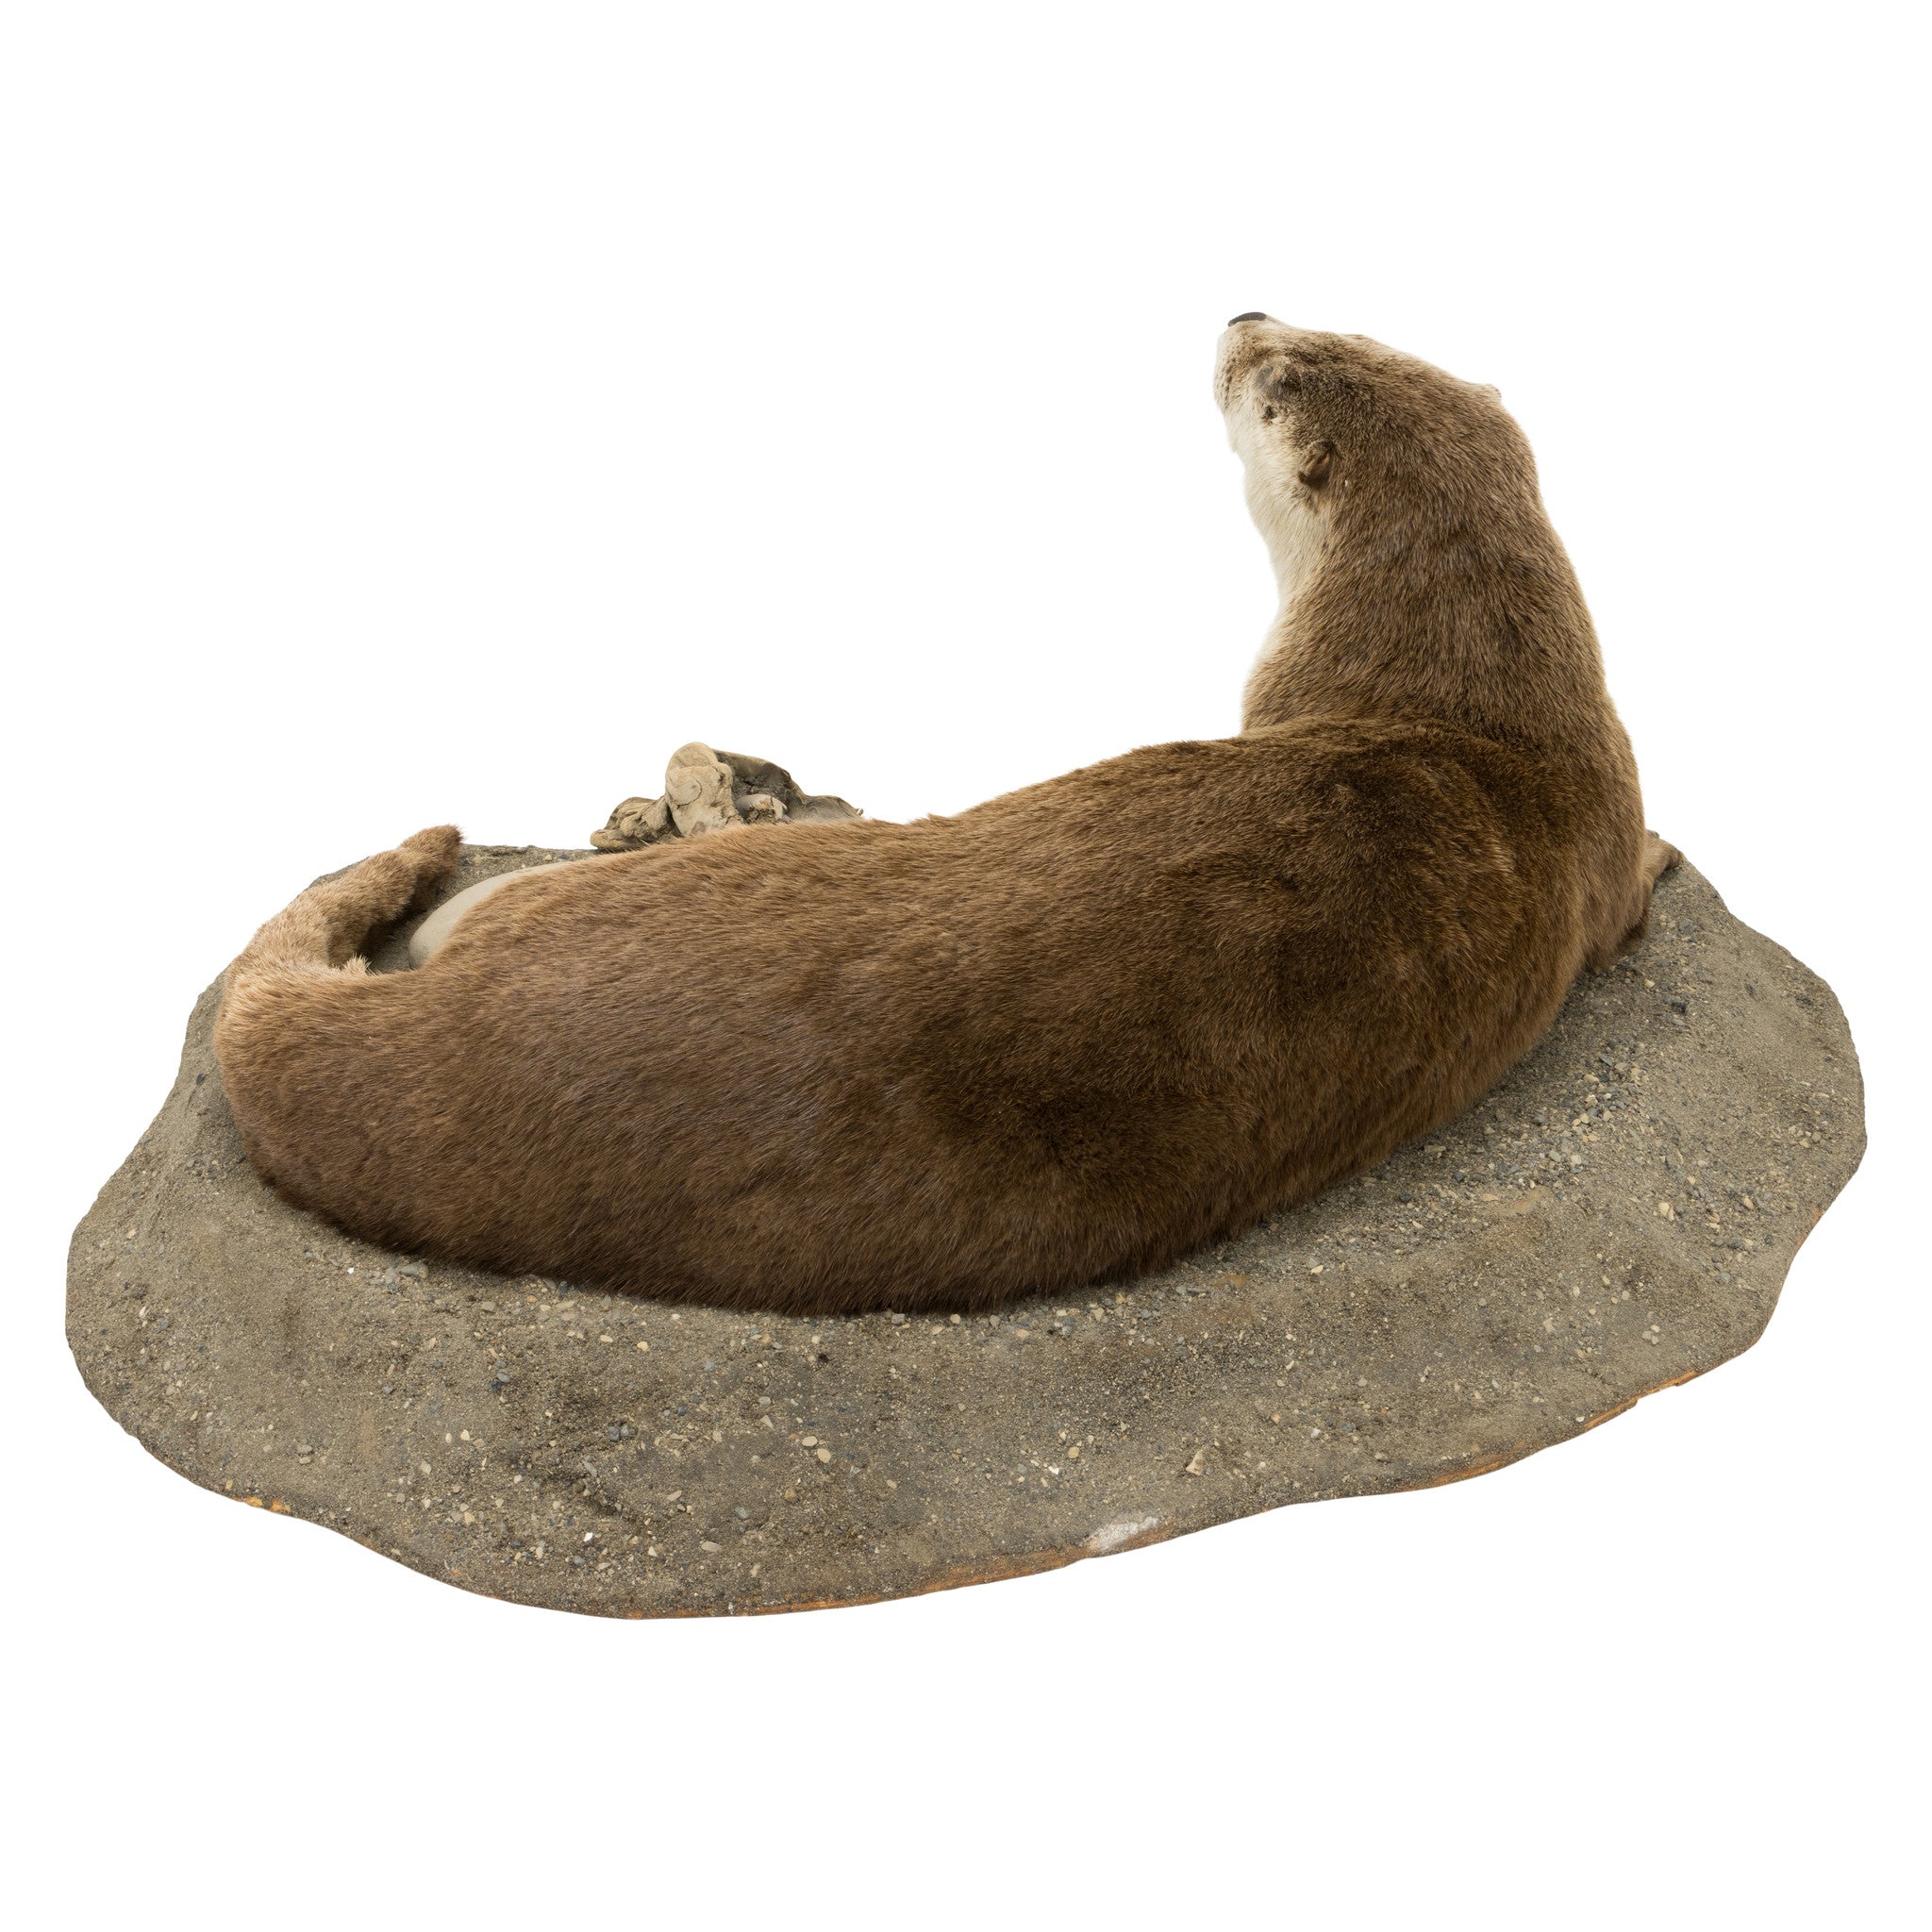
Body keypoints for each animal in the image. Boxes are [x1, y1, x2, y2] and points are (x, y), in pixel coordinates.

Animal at [213, 318, 1676, 1315]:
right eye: (1330, 330)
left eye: (1276, 378)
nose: (1244, 312)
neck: (1467, 708)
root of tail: (456, 1050)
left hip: (568, 907)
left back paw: (701, 794)